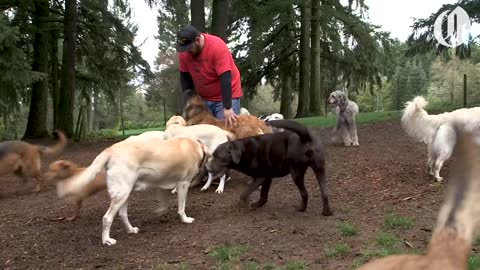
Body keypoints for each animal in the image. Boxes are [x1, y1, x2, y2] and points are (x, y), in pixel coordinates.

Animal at [62, 136, 209, 246]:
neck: (196, 146)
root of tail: (110, 149)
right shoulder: (183, 184)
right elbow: (182, 207)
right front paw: (185, 219)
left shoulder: (161, 183)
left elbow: (164, 202)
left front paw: (161, 211)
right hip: (122, 194)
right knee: (107, 218)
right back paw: (107, 240)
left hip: (125, 193)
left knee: (122, 214)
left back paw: (130, 230)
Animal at [206, 119, 334, 216]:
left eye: (217, 157)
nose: (207, 168)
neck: (243, 151)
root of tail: (305, 137)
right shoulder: (267, 179)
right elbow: (263, 195)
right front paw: (258, 204)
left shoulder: (260, 177)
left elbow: (244, 193)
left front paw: (244, 204)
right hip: (319, 169)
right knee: (324, 192)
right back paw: (326, 212)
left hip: (296, 173)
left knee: (305, 193)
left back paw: (302, 208)